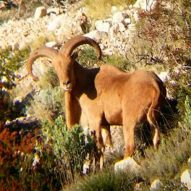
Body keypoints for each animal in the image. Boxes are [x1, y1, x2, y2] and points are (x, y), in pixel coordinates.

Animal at [26, 35, 166, 166]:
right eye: (56, 67)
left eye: (70, 64)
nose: (66, 83)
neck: (86, 84)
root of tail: (154, 84)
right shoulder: (105, 124)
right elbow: (105, 145)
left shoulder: (95, 120)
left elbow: (98, 147)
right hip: (154, 117)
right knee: (156, 139)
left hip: (129, 120)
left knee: (130, 146)